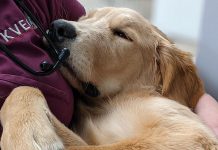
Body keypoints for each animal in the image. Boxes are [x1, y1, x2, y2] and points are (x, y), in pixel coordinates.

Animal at [0, 7, 218, 150]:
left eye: (122, 34)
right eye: (84, 18)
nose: (58, 27)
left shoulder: (185, 134)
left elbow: (25, 88)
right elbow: (23, 88)